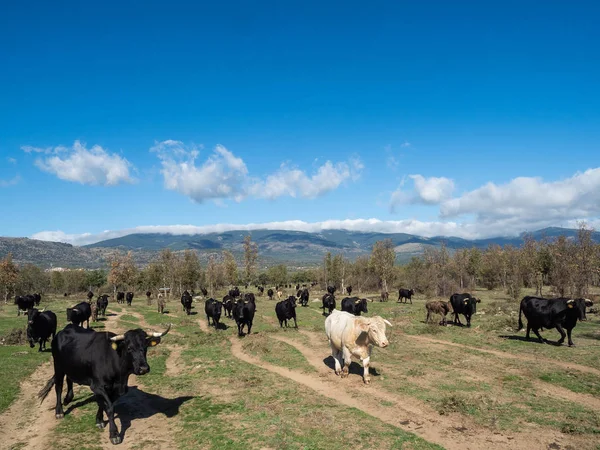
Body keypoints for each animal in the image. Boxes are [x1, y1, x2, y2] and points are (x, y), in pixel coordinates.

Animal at [38, 324, 169, 446]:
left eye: (145, 347)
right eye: (129, 348)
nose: (143, 368)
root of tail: (66, 329)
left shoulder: (115, 389)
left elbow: (103, 403)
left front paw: (99, 420)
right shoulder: (97, 386)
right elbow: (110, 408)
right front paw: (114, 434)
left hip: (70, 367)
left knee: (69, 379)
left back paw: (68, 398)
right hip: (58, 366)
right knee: (58, 387)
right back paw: (59, 411)